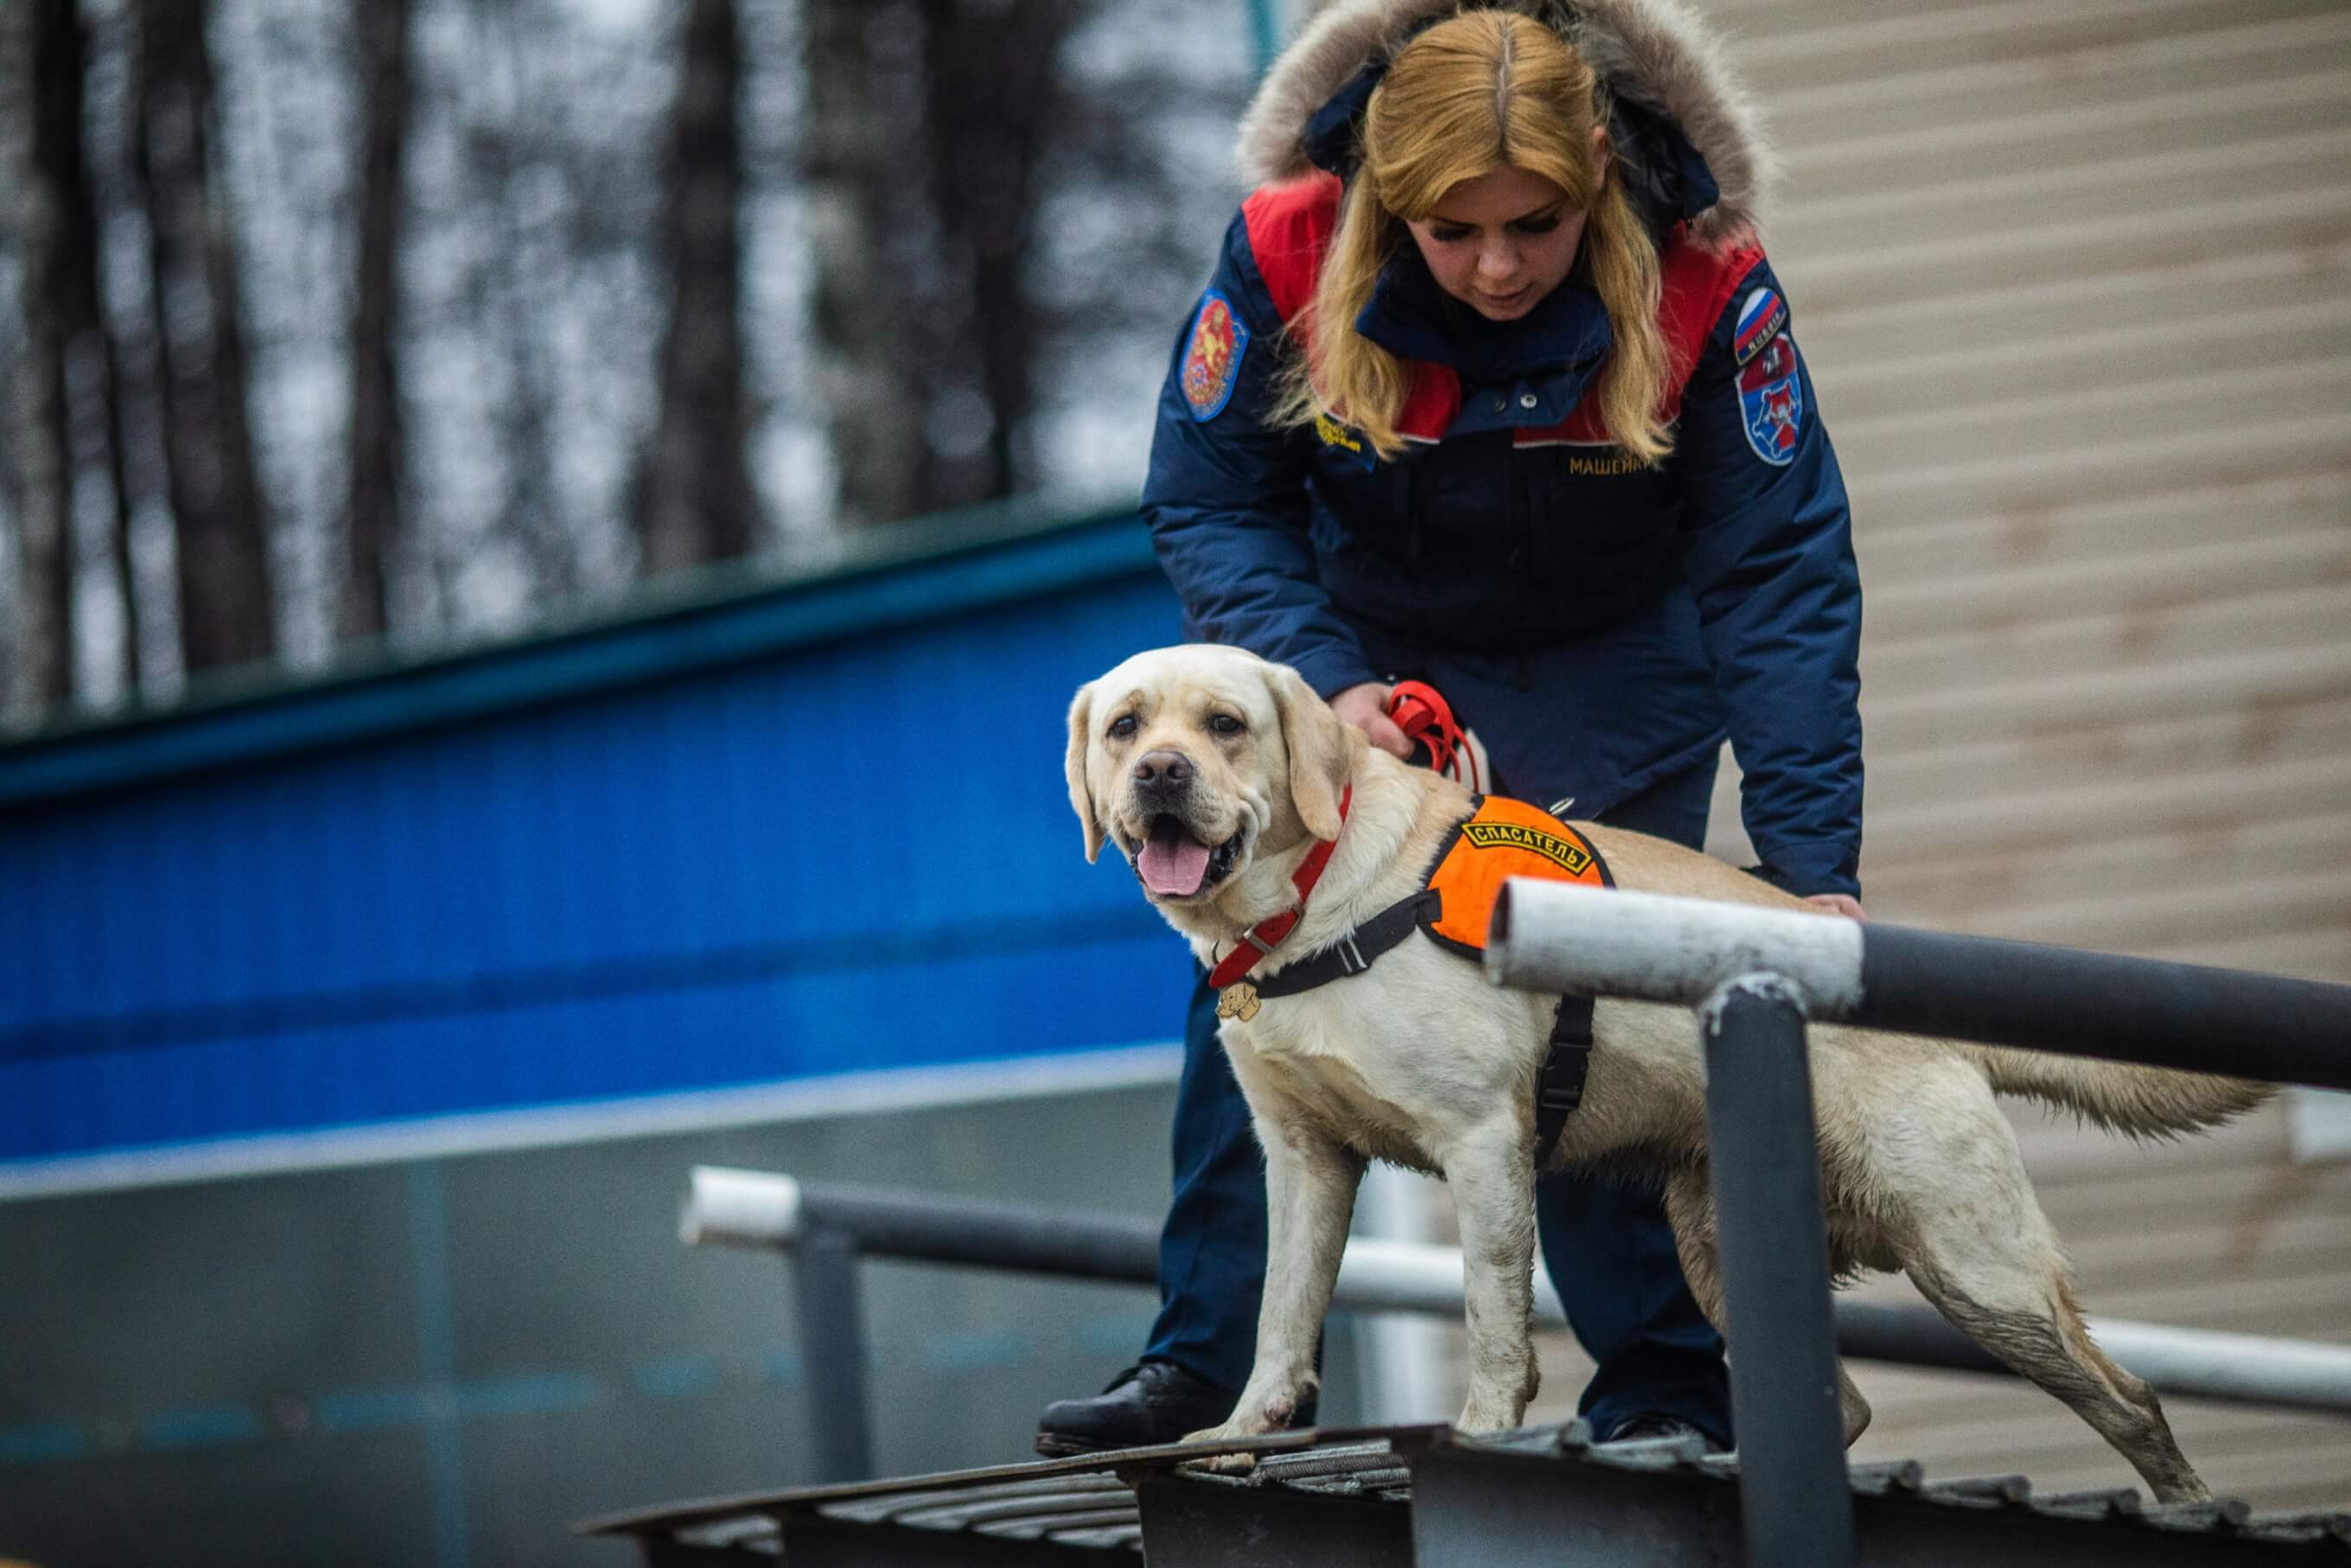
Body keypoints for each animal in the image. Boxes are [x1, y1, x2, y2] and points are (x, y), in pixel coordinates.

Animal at [1076, 644, 2266, 1504]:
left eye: (1225, 724)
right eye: (1127, 724)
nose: (1159, 773)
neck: (1311, 903)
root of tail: (1921, 1006)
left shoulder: (1482, 1142)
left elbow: (1493, 1324)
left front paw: (1479, 1435)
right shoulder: (1302, 1157)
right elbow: (1279, 1316)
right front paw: (1238, 1435)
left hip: (1976, 1262)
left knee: (2131, 1401)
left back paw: (2188, 1505)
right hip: (1725, 1246)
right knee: (1835, 1404)